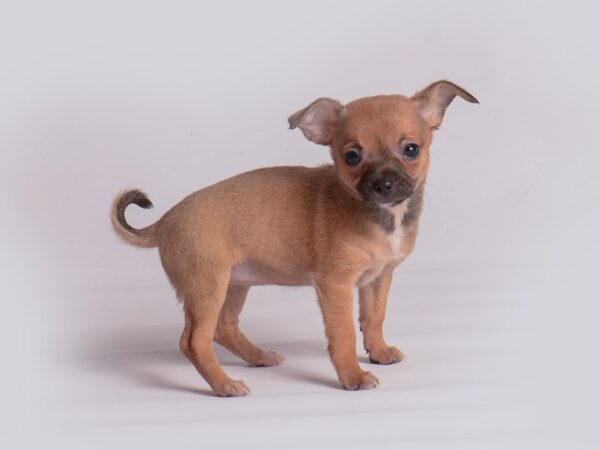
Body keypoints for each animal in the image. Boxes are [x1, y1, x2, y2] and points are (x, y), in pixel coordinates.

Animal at [111, 81, 478, 398]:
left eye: (411, 150)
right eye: (352, 157)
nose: (383, 184)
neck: (382, 216)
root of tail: (164, 221)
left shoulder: (378, 279)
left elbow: (374, 318)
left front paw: (379, 351)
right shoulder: (336, 285)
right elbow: (344, 334)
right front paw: (353, 376)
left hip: (233, 284)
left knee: (223, 328)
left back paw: (258, 357)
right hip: (206, 287)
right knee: (194, 341)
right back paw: (224, 384)